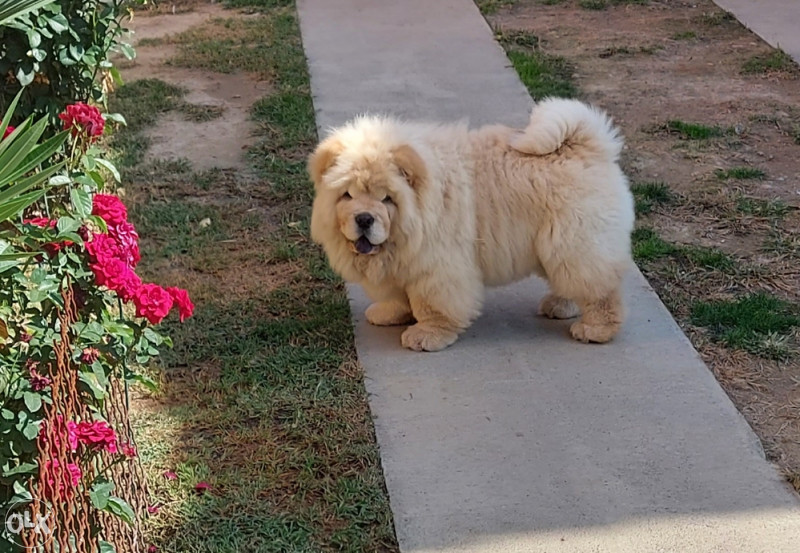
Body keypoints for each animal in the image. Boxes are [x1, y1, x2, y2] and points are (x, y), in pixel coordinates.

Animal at [310, 97, 636, 352]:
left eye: (386, 199)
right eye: (347, 195)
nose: (364, 218)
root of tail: (585, 147)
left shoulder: (436, 265)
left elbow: (431, 304)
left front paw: (427, 335)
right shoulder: (400, 265)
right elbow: (397, 296)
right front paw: (388, 313)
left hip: (575, 242)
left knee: (600, 290)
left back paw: (595, 330)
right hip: (557, 246)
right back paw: (560, 306)